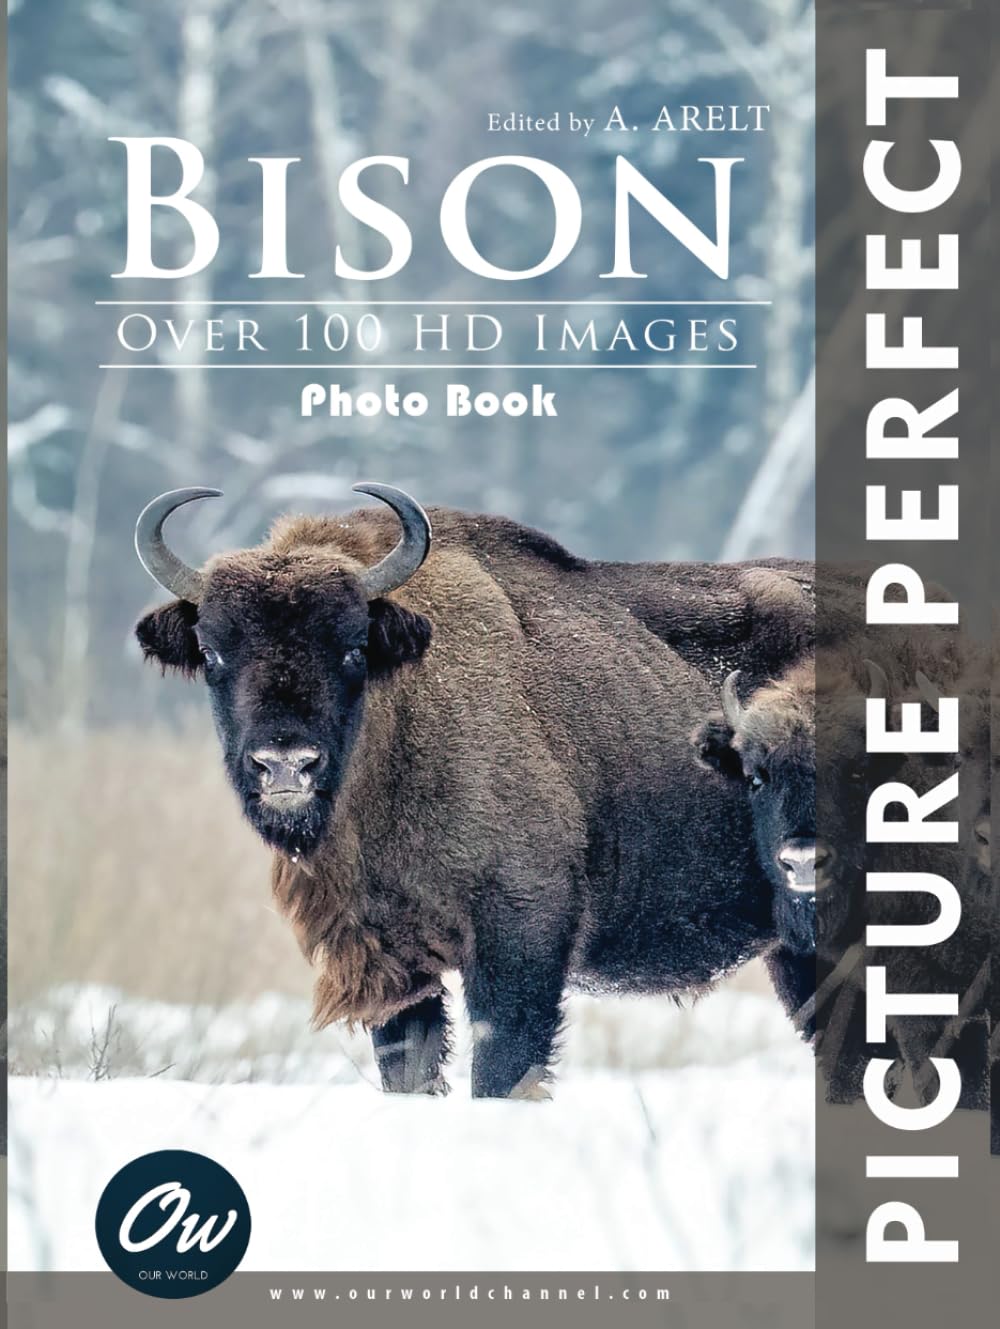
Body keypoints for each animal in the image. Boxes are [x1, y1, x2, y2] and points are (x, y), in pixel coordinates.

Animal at [135, 482, 815, 1098]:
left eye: (354, 647)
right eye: (212, 652)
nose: (285, 764)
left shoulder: (519, 937)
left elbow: (500, 1070)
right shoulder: (394, 960)